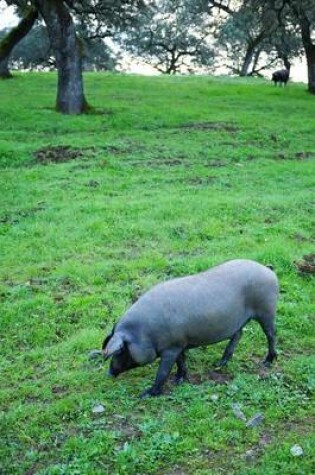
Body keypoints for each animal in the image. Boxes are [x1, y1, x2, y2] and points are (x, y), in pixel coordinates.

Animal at [102, 260, 280, 398]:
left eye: (120, 351)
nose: (109, 373)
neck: (145, 333)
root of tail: (268, 269)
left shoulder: (170, 348)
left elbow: (162, 372)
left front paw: (146, 394)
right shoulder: (179, 344)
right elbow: (181, 362)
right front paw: (179, 380)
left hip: (266, 311)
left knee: (271, 334)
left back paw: (267, 362)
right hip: (239, 320)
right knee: (238, 334)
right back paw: (219, 363)